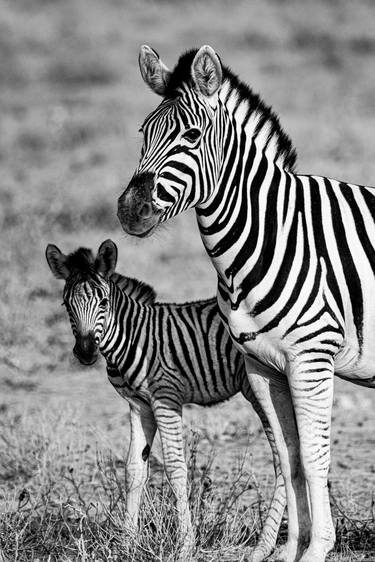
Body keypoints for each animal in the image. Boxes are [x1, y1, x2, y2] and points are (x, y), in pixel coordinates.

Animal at [46, 237, 288, 560]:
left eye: (104, 303)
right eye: (66, 305)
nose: (85, 352)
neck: (133, 336)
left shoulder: (165, 398)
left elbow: (175, 468)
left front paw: (185, 545)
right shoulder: (139, 405)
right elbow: (134, 468)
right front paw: (127, 542)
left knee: (283, 458)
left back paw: (269, 543)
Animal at [117, 43, 375, 560]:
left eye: (192, 136)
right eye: (142, 133)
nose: (130, 211)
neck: (271, 233)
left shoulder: (311, 359)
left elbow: (314, 457)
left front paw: (318, 549)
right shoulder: (262, 367)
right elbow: (288, 457)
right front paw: (289, 549)